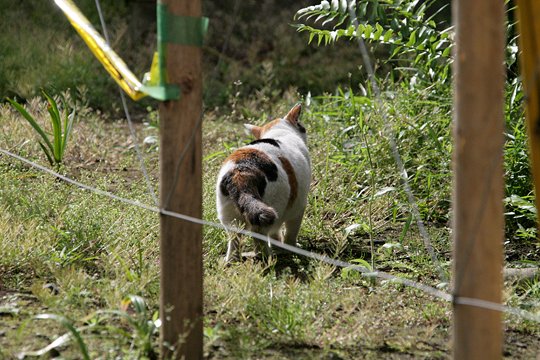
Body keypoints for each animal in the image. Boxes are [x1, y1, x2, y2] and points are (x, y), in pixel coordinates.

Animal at [214, 104, 310, 262]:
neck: (279, 133)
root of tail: (242, 171)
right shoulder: (298, 206)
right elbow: (290, 233)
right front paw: (289, 248)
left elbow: (276, 234)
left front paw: (278, 246)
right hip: (273, 208)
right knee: (260, 235)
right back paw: (267, 259)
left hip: (229, 217)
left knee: (234, 239)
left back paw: (231, 261)